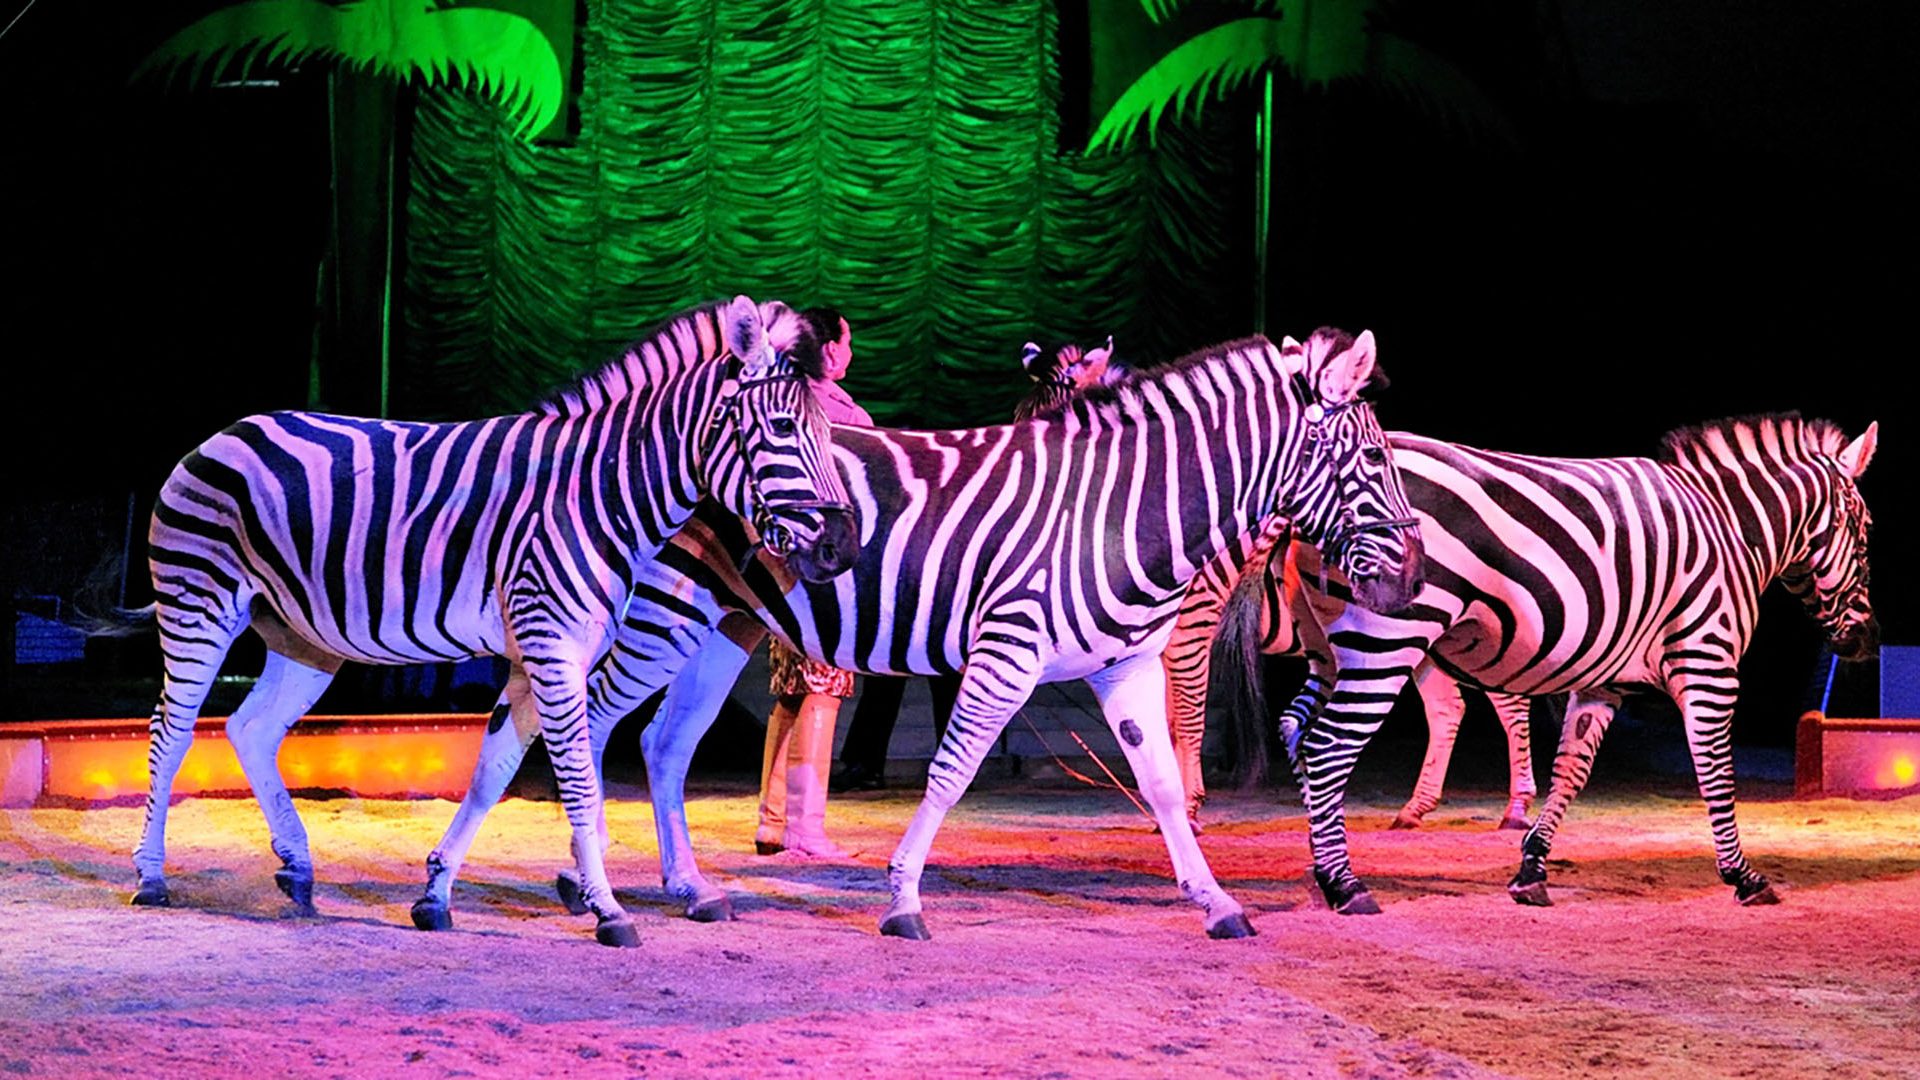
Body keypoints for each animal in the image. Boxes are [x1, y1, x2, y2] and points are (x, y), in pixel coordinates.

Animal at [108, 294, 852, 941]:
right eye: (785, 429)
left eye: (826, 429)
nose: (842, 547)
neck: (598, 493)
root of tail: (224, 433)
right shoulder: (552, 645)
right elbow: (577, 777)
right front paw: (607, 908)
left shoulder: (538, 655)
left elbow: (494, 771)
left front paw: (435, 894)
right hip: (198, 602)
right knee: (171, 730)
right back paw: (151, 877)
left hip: (301, 634)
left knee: (251, 727)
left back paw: (297, 866)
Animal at [412, 326, 1428, 933]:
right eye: (1374, 457)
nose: (1416, 574)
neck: (1118, 507)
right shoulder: (1007, 650)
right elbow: (950, 770)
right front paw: (902, 896)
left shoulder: (1125, 664)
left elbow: (1166, 790)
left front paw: (1214, 901)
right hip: (661, 612)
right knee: (574, 721)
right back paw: (573, 884)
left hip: (723, 624)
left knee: (662, 744)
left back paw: (688, 888)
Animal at [1221, 411, 1881, 907]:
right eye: (1867, 529)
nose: (1867, 641)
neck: (1729, 529)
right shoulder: (1708, 661)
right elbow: (1716, 772)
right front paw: (1743, 876)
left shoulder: (1606, 680)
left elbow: (1573, 770)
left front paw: (1532, 867)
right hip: (1392, 636)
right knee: (1329, 746)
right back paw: (1344, 883)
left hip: (1330, 647)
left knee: (1306, 730)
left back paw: (1324, 861)